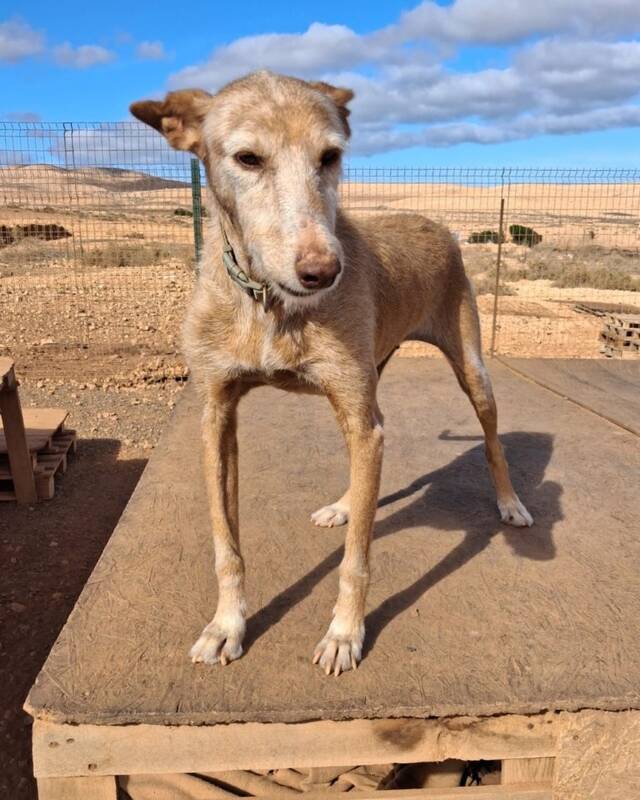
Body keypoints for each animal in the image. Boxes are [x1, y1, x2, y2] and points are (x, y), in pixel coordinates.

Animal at [130, 70, 533, 677]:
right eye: (247, 158)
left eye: (330, 156)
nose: (323, 271)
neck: (269, 305)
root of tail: (435, 222)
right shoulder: (216, 416)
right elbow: (227, 544)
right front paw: (227, 625)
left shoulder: (361, 415)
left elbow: (355, 560)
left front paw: (344, 633)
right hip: (370, 382)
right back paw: (346, 505)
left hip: (470, 370)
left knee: (491, 440)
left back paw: (509, 502)